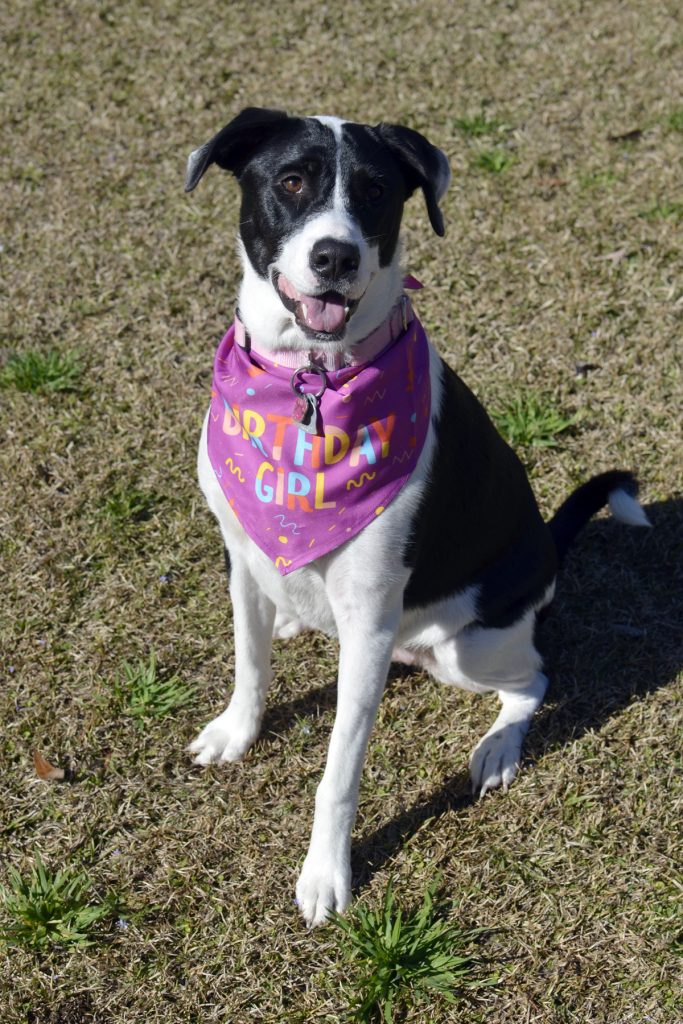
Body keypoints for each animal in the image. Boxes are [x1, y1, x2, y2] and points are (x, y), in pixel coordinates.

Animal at [185, 110, 651, 929]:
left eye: (375, 190)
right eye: (291, 181)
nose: (335, 255)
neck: (311, 381)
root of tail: (546, 549)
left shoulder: (369, 623)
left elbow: (338, 772)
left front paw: (325, 874)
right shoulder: (242, 559)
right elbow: (249, 663)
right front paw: (237, 731)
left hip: (468, 647)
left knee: (533, 677)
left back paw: (497, 747)